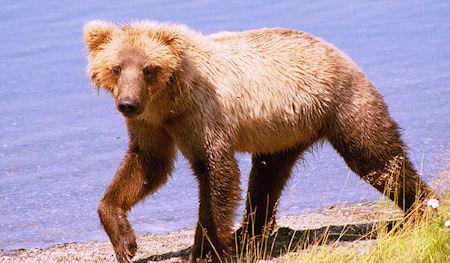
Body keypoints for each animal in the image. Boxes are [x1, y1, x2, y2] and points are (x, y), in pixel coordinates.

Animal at [82, 19, 438, 262]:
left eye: (148, 68)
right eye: (116, 68)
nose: (127, 103)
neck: (167, 101)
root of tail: (338, 51)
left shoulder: (201, 113)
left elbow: (215, 172)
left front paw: (204, 250)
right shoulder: (150, 123)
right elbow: (147, 166)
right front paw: (124, 240)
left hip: (342, 103)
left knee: (377, 158)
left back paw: (423, 207)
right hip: (284, 130)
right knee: (267, 178)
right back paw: (247, 234)